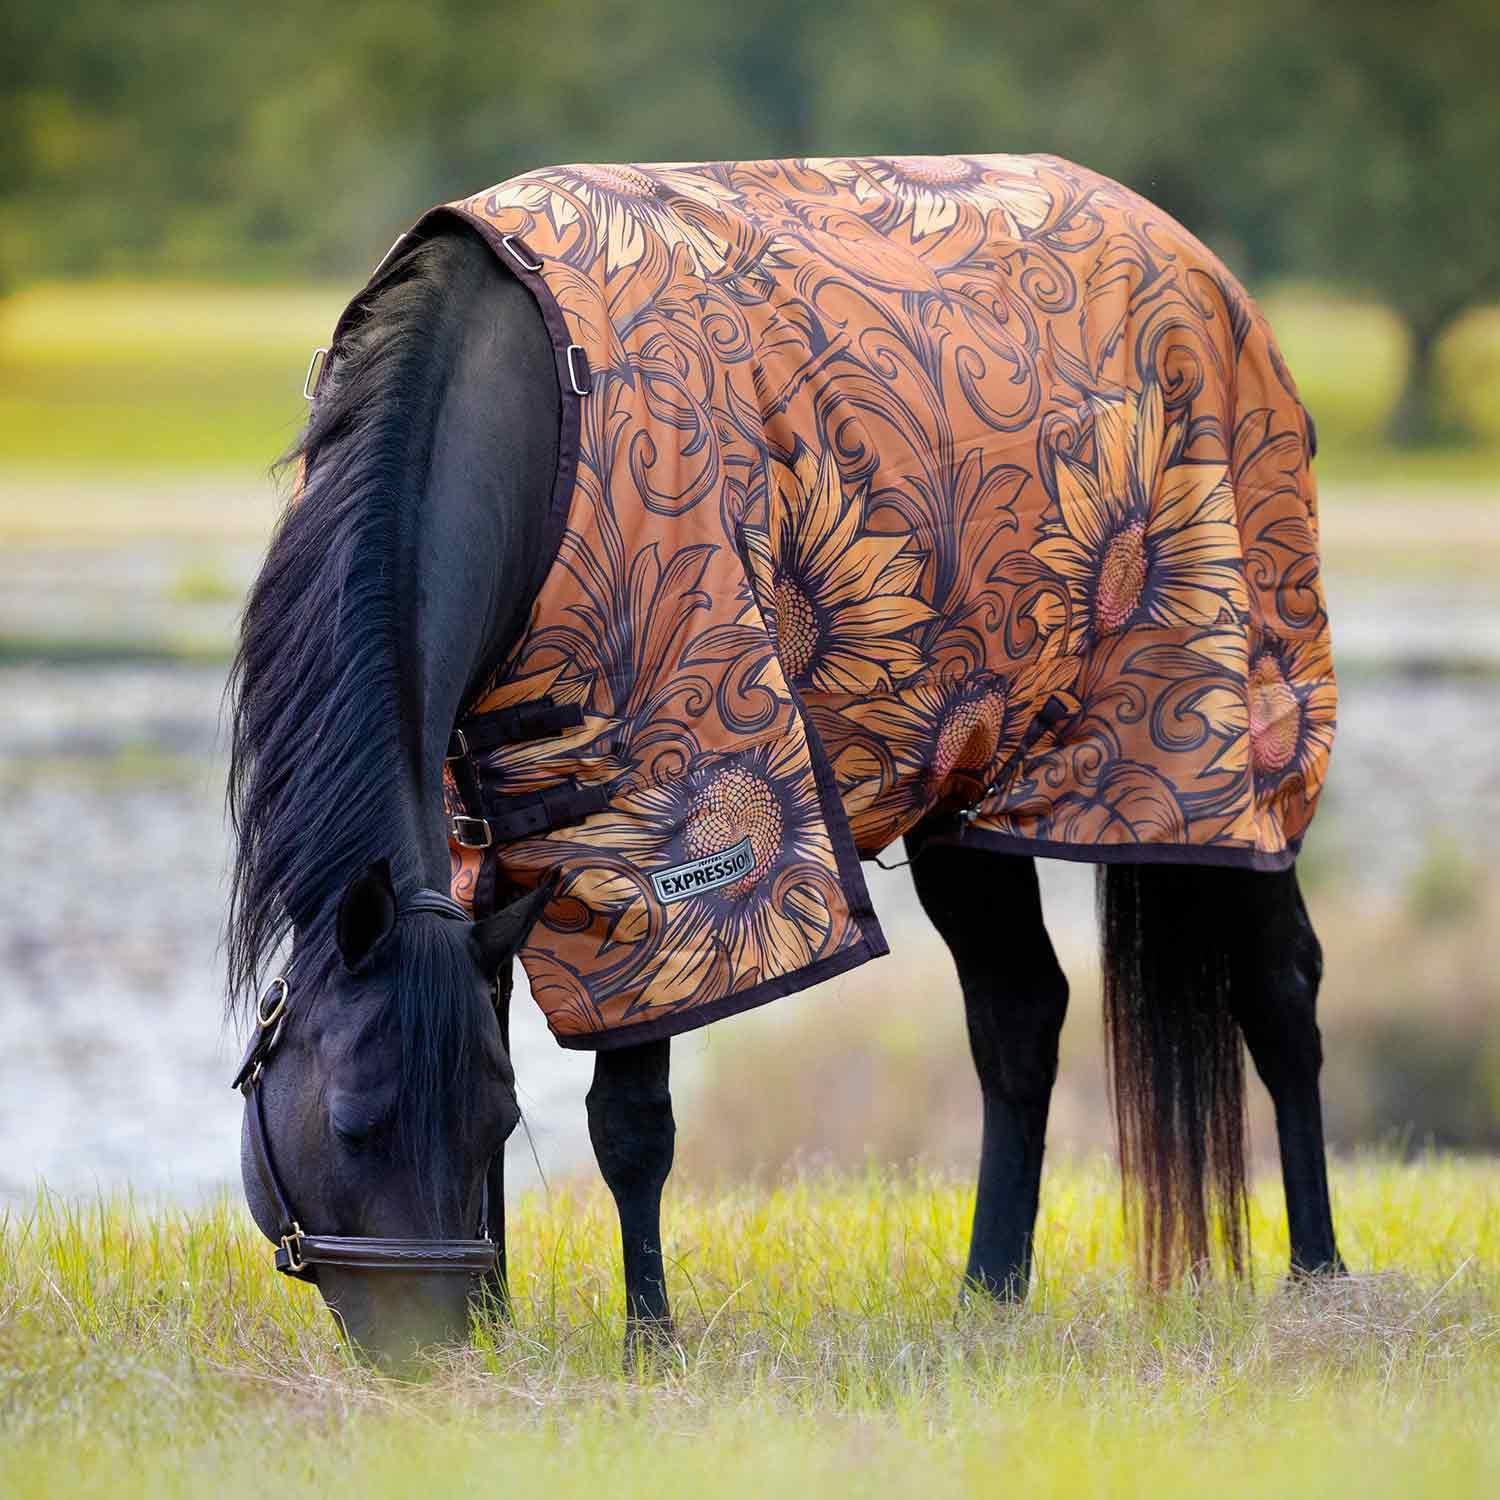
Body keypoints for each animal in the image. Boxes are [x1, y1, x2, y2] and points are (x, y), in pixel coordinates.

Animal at [227, 156, 1344, 1371]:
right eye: (354, 1124)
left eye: (491, 1117)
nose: (430, 1357)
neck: (534, 403)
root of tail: (1212, 278)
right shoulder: (482, 849)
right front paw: (510, 1316)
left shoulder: (657, 836)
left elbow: (632, 1125)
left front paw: (649, 1346)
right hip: (969, 784)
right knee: (1021, 1015)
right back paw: (988, 1295)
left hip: (1217, 766)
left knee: (1281, 990)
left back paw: (1320, 1279)